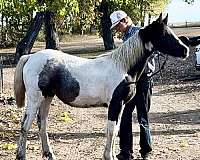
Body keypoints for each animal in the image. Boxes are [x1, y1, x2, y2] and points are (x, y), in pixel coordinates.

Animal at [14, 13, 189, 160]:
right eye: (165, 34)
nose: (186, 50)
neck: (122, 67)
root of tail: (30, 57)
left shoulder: (121, 105)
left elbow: (116, 130)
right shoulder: (115, 104)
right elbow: (111, 130)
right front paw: (108, 156)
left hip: (47, 97)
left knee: (42, 123)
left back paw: (49, 154)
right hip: (35, 99)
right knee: (25, 125)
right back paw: (21, 156)